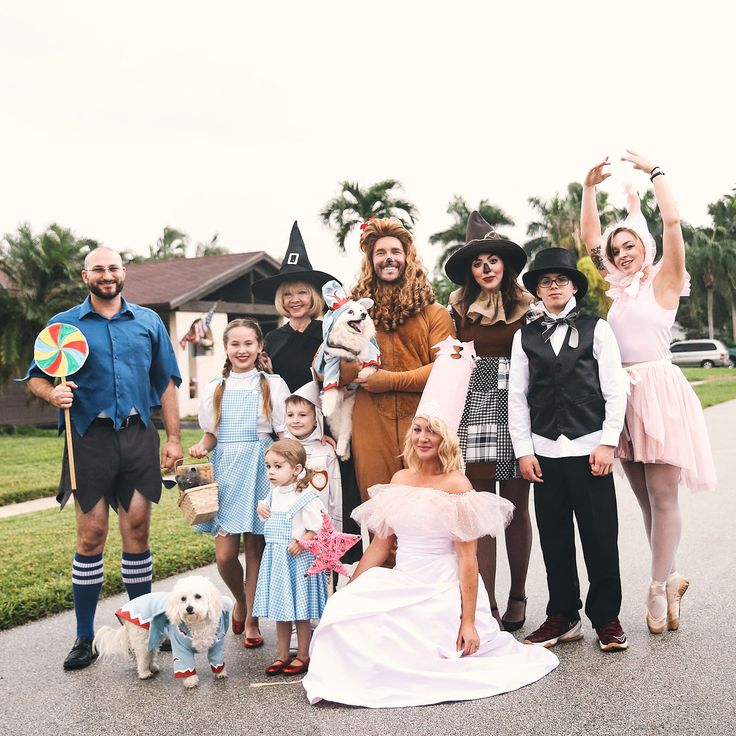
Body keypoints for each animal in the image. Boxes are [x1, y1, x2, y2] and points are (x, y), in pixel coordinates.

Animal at [93, 576, 233, 688]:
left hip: (154, 638)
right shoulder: (180, 648)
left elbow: (217, 660)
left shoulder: (216, 644)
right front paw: (190, 681)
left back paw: (152, 667)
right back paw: (144, 673)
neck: (197, 623)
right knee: (142, 657)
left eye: (198, 596)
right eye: (183, 599)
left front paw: (220, 673)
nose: (189, 608)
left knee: (151, 653)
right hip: (142, 639)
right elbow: (185, 665)